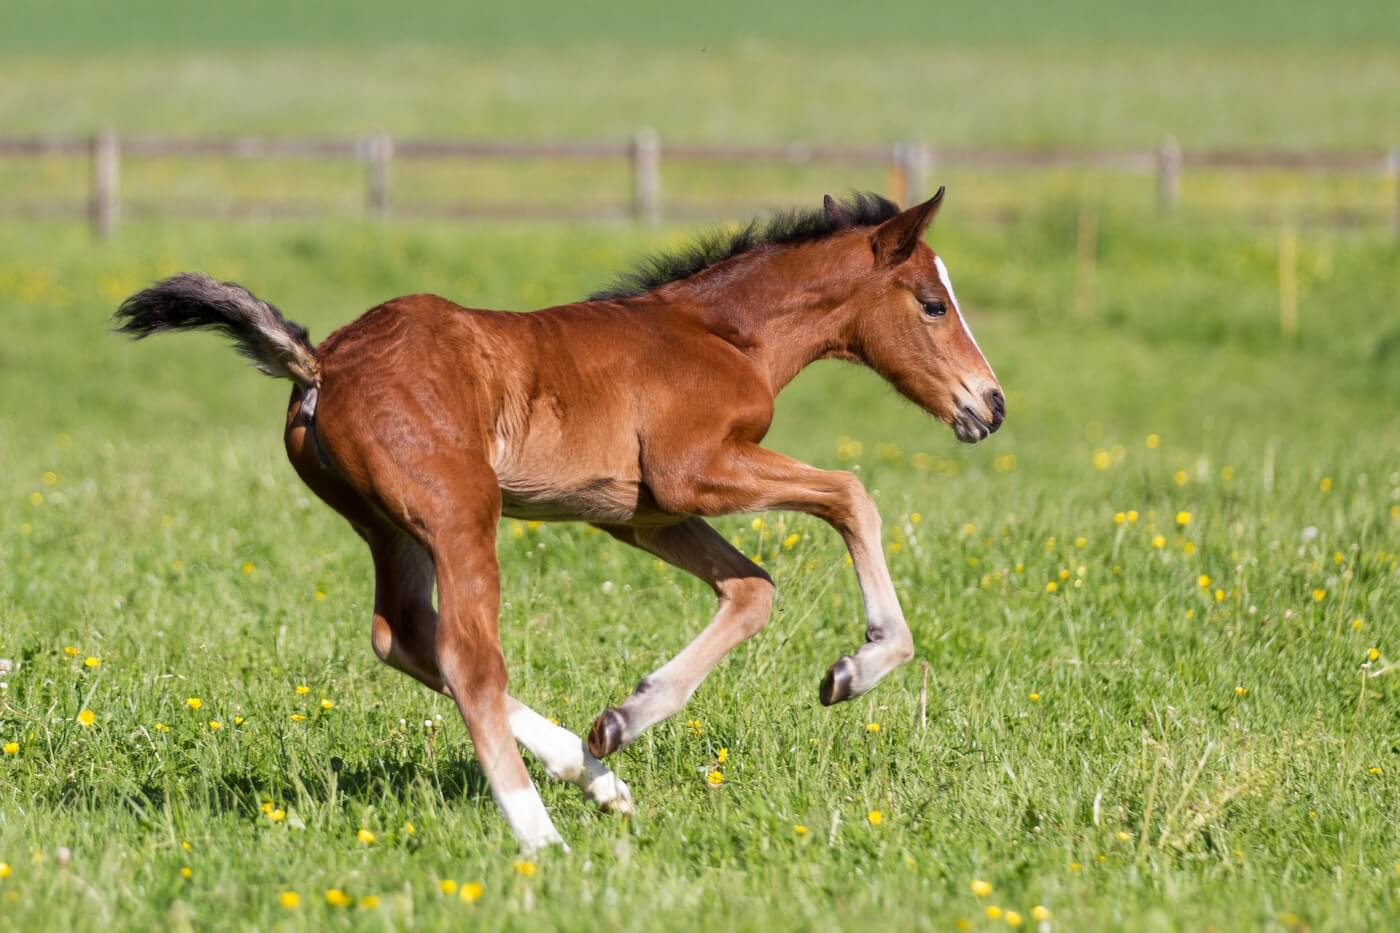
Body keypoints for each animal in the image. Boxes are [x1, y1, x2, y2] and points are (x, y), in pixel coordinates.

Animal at [114, 189, 1002, 851]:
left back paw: (597, 777)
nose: (988, 405)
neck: (722, 335)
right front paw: (862, 664)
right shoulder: (694, 471)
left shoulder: (642, 515)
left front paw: (622, 719)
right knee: (467, 658)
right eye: (932, 303)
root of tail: (322, 364)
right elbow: (852, 493)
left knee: (404, 633)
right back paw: (541, 835)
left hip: (390, 527)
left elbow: (753, 589)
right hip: (460, 513)